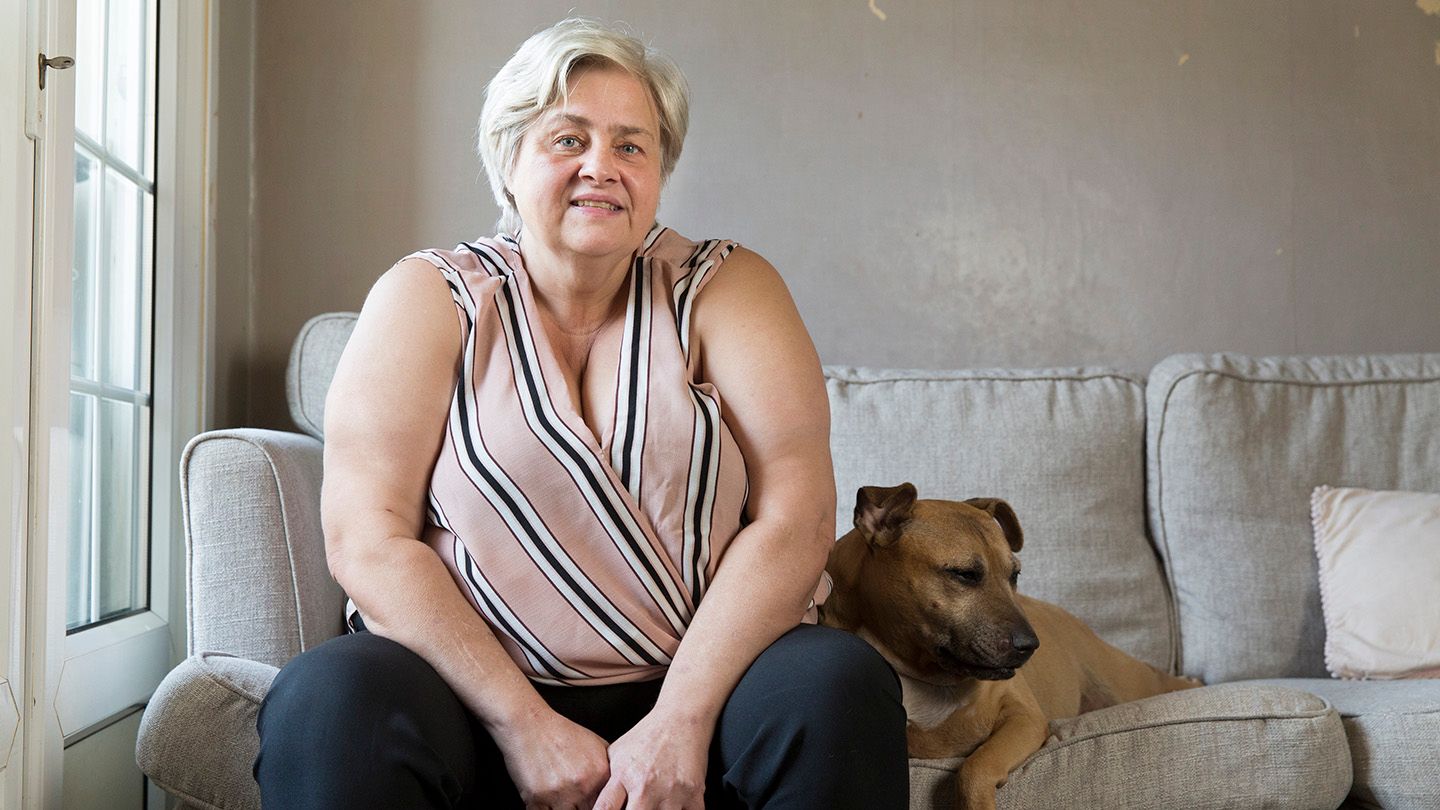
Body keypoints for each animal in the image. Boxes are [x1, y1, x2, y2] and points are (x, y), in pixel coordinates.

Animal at [817, 481, 1198, 801]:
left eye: (1014, 575)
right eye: (964, 574)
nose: (1030, 646)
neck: (924, 673)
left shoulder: (1023, 717)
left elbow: (975, 767)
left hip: (1124, 680)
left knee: (1159, 678)